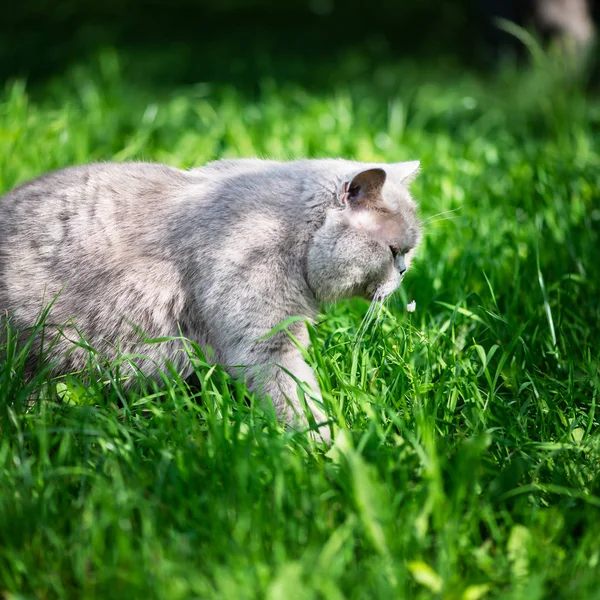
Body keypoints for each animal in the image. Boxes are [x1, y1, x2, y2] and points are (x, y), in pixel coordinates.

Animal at [0, 158, 422, 440]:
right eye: (393, 251)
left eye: (408, 252)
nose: (404, 272)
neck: (292, 233)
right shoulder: (265, 344)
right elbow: (297, 398)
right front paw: (328, 449)